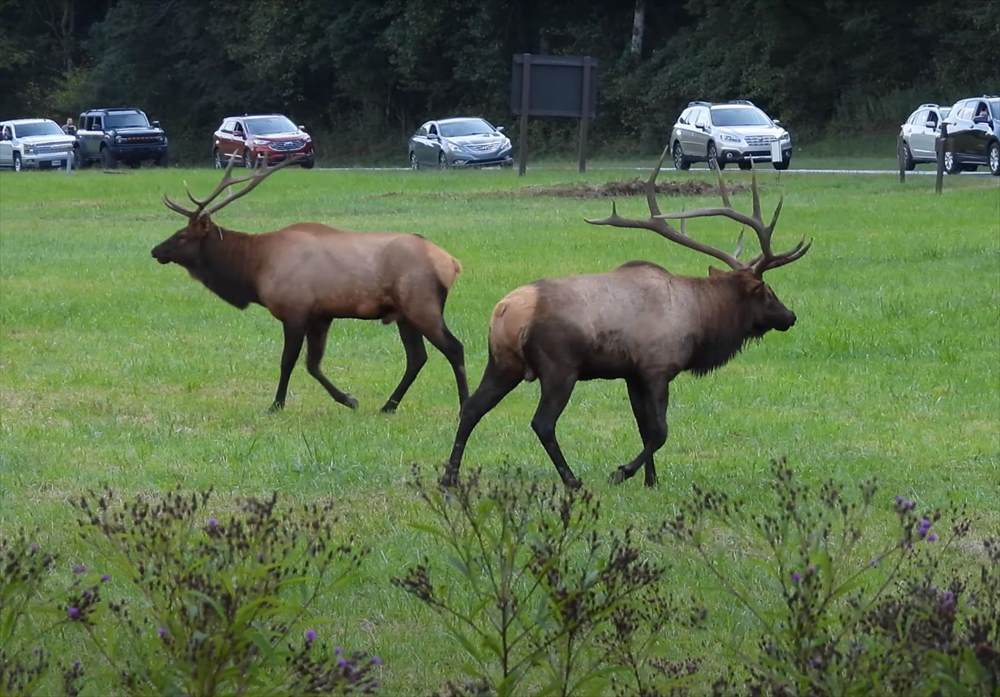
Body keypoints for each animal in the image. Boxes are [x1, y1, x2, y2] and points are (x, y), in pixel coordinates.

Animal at [151, 158, 468, 414]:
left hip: (422, 305)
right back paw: (388, 405)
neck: (254, 269)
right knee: (417, 358)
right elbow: (313, 364)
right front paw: (349, 399)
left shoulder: (295, 311)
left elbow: (288, 361)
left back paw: (463, 404)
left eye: (182, 236)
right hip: (404, 314)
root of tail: (452, 263)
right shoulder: (321, 315)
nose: (156, 250)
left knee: (454, 348)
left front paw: (276, 404)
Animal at [444, 148, 812, 490]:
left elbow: (643, 427)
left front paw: (651, 480)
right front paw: (621, 472)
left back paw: (450, 476)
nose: (790, 315)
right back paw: (572, 480)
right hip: (559, 367)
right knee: (542, 422)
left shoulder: (632, 374)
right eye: (766, 291)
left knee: (472, 407)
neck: (700, 319)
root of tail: (505, 311)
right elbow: (660, 431)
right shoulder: (657, 368)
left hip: (503, 362)